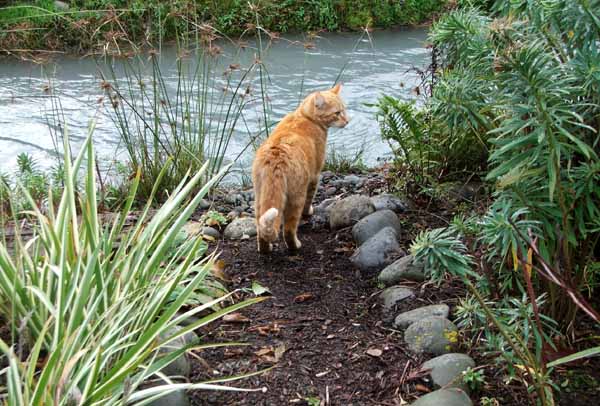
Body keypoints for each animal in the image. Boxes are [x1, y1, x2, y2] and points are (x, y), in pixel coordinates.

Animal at [251, 83, 350, 252]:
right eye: (337, 113)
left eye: (344, 110)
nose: (347, 121)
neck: (304, 116)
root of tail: (276, 158)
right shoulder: (315, 175)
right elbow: (311, 197)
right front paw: (308, 212)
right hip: (296, 196)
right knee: (288, 230)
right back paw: (295, 245)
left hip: (260, 196)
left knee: (260, 229)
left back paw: (265, 249)